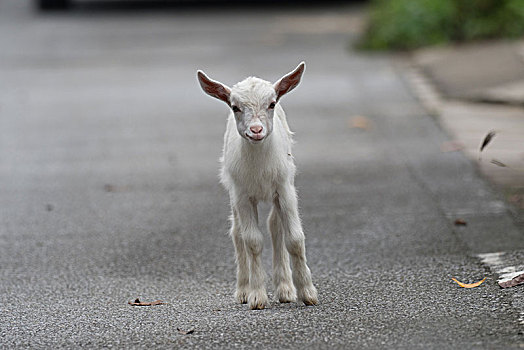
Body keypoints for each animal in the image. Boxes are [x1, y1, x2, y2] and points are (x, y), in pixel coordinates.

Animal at [199, 62, 318, 308]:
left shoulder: (285, 190)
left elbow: (294, 238)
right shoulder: (242, 196)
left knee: (275, 226)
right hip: (233, 192)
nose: (256, 130)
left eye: (271, 104)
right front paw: (256, 296)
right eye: (235, 107)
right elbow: (252, 241)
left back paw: (285, 289)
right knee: (237, 233)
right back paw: (244, 289)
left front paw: (308, 293)